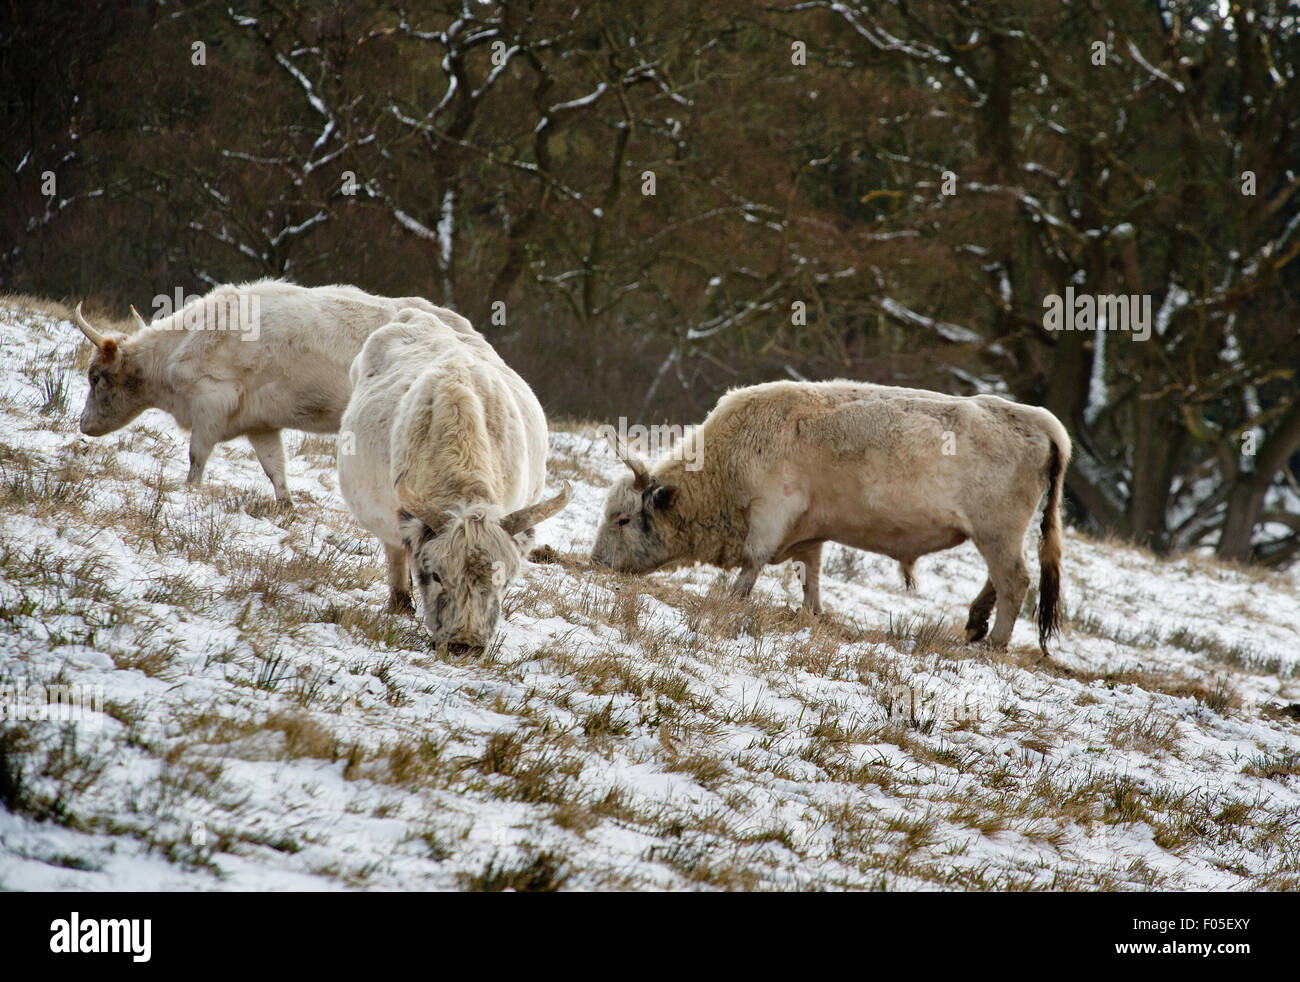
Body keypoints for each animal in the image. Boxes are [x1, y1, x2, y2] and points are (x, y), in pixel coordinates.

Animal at [67, 278, 473, 502]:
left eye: (95, 377)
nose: (84, 424)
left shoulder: (210, 405)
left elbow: (197, 457)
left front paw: (190, 491)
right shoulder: (260, 424)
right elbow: (274, 468)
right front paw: (286, 505)